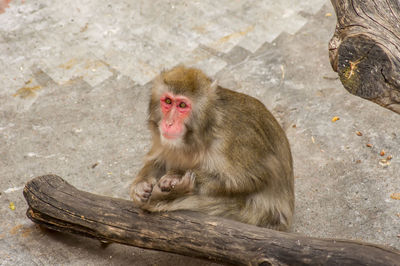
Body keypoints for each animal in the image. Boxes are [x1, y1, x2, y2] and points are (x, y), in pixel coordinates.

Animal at [130, 65, 296, 231]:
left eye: (182, 105)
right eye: (168, 101)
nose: (168, 123)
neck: (203, 132)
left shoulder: (235, 139)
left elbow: (255, 177)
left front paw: (176, 175)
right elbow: (157, 160)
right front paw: (140, 185)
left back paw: (165, 197)